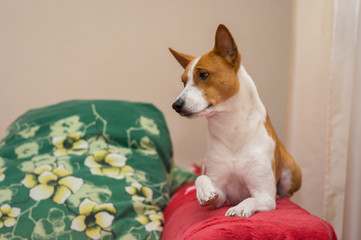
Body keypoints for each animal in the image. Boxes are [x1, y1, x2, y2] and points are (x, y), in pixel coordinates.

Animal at [169, 24, 300, 218]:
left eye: (204, 75)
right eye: (183, 82)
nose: (176, 105)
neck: (231, 130)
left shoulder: (266, 196)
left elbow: (251, 199)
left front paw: (239, 208)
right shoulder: (221, 194)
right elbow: (201, 178)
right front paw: (204, 192)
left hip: (292, 171)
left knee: (285, 193)